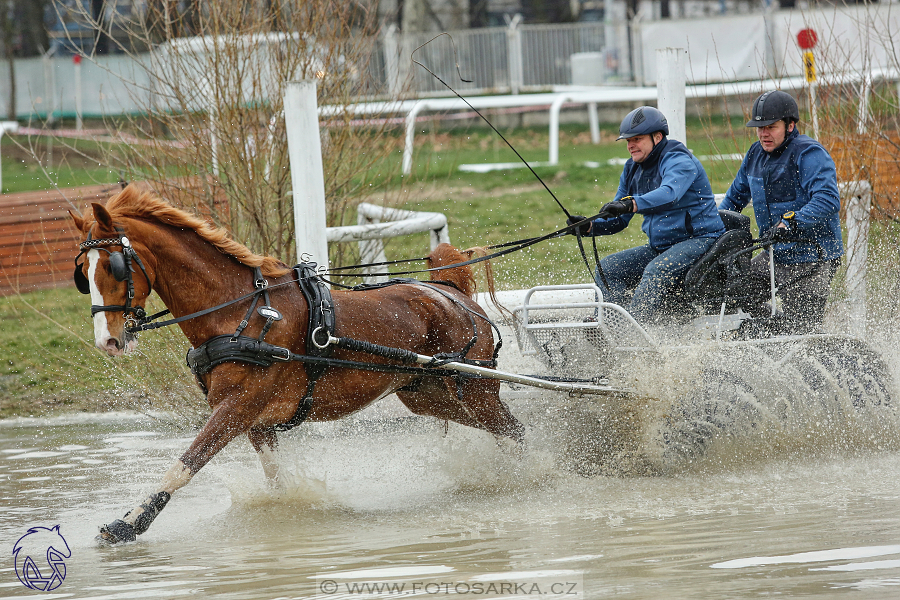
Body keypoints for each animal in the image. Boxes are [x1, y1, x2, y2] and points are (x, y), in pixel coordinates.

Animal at [72, 183, 528, 544]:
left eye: (113, 266)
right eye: (82, 273)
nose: (107, 341)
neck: (240, 311)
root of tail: (451, 291)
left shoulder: (236, 408)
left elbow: (185, 465)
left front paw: (130, 523)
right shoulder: (255, 423)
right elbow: (276, 480)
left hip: (475, 391)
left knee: (515, 432)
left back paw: (527, 479)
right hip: (432, 397)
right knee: (502, 432)